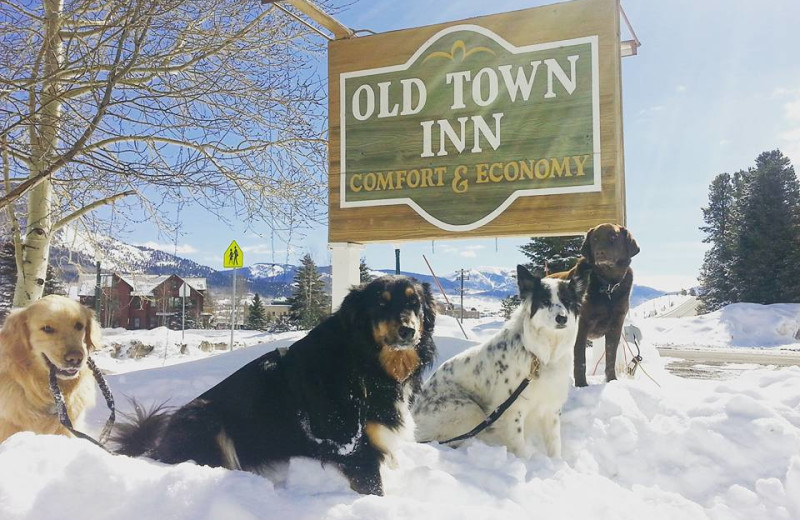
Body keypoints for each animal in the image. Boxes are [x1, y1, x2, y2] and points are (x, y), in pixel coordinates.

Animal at [114, 274, 432, 494]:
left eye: (414, 302)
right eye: (381, 303)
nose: (408, 330)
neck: (366, 361)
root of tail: (156, 449)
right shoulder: (353, 448)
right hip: (206, 417)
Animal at [412, 266, 580, 458]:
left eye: (567, 301)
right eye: (545, 301)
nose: (562, 318)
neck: (541, 355)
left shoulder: (550, 407)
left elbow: (554, 443)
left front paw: (556, 462)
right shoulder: (512, 409)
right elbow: (519, 446)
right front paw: (527, 461)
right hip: (468, 409)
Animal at [548, 223, 640, 386]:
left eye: (613, 236)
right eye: (595, 238)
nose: (600, 252)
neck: (607, 285)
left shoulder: (616, 327)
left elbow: (611, 357)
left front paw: (612, 381)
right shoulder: (581, 327)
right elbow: (580, 360)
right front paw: (581, 385)